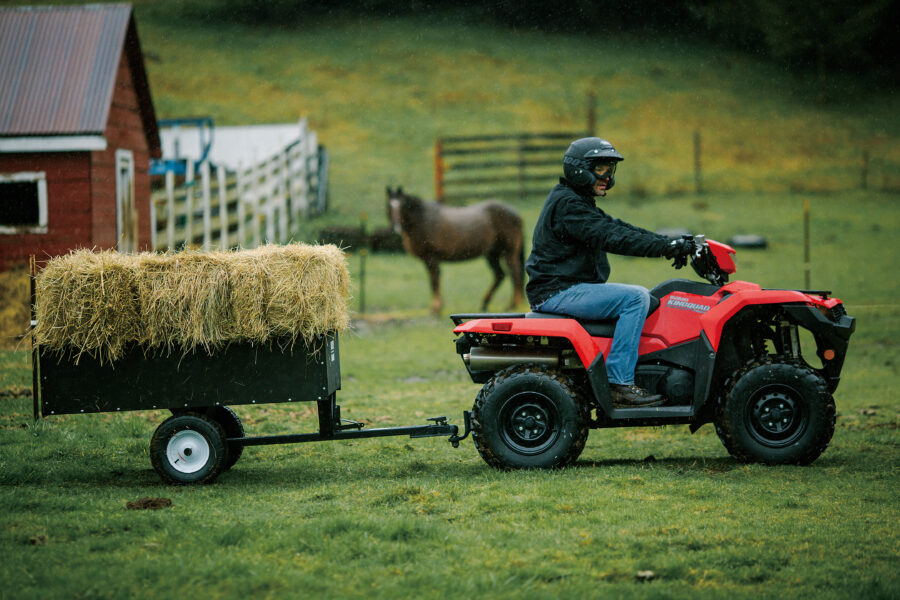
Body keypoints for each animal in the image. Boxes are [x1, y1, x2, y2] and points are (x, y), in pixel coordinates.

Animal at [388, 188, 528, 314]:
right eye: (389, 207)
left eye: (402, 206)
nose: (396, 227)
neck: (423, 219)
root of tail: (516, 213)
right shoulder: (429, 261)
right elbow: (434, 282)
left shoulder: (432, 259)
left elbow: (434, 281)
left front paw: (436, 309)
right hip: (492, 254)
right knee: (500, 275)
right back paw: (485, 304)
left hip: (508, 252)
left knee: (515, 274)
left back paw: (512, 305)